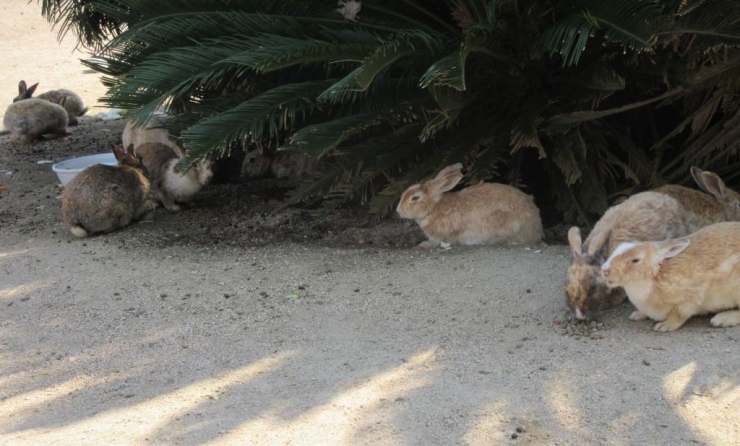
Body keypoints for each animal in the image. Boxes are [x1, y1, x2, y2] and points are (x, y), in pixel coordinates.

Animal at [394, 163, 544, 247]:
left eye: (415, 198)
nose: (398, 210)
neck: (434, 207)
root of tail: (536, 230)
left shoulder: (445, 234)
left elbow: (438, 241)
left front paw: (424, 244)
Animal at [600, 222, 740, 332]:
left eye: (635, 260)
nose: (604, 270)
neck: (655, 275)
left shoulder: (690, 299)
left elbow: (678, 315)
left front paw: (663, 326)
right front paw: (636, 315)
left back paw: (721, 319)